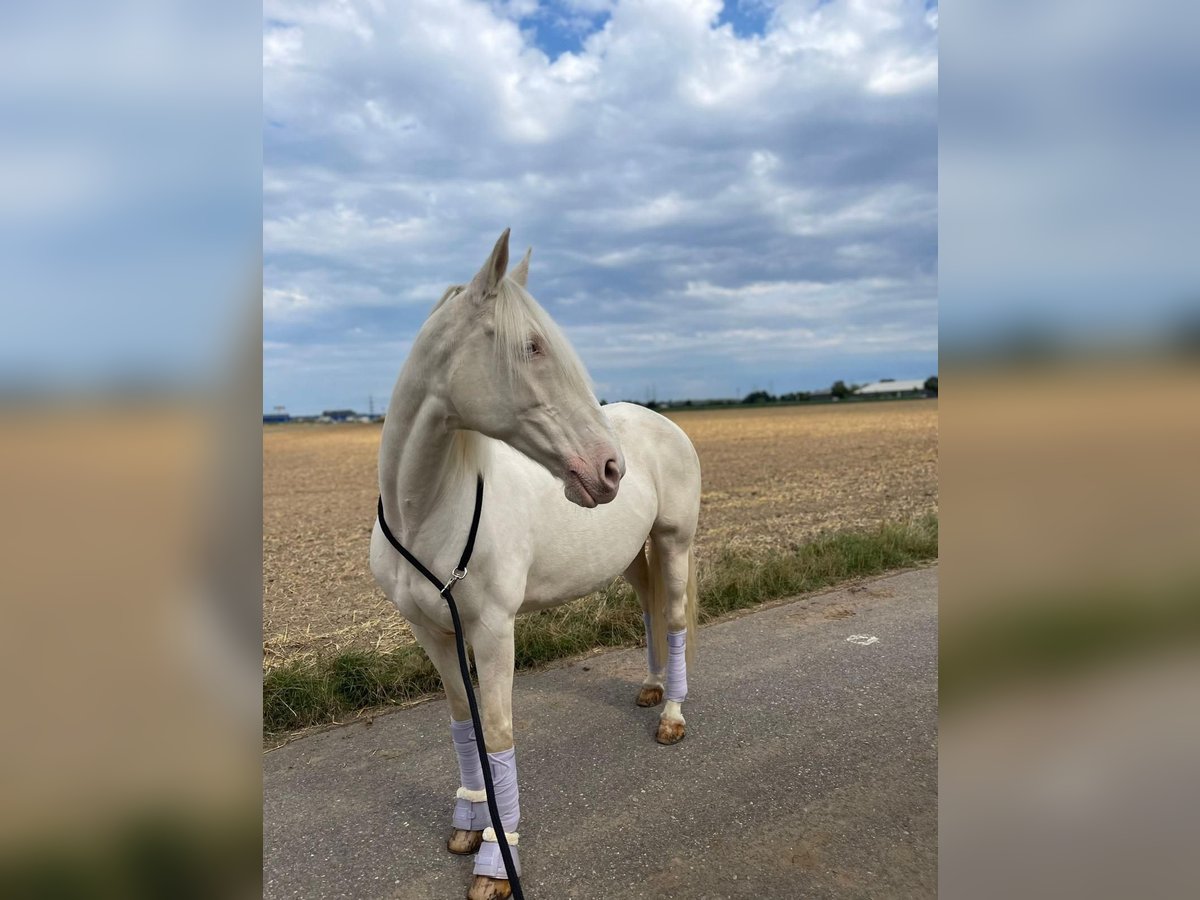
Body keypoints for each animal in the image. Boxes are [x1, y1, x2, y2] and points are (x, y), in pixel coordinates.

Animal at [369, 232, 700, 900]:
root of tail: (664, 423)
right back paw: (651, 688)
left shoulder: (495, 630)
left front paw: (497, 862)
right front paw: (469, 820)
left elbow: (497, 732)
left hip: (674, 543)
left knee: (675, 619)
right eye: (532, 346)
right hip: (632, 557)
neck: (426, 511)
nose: (609, 468)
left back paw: (672, 715)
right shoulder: (432, 632)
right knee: (650, 611)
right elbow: (461, 721)